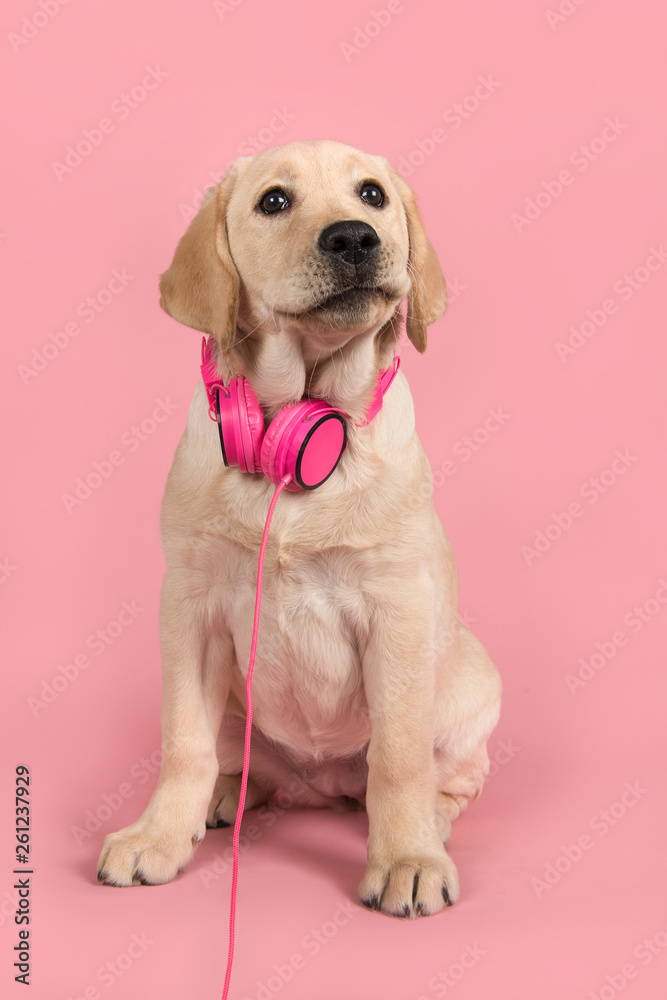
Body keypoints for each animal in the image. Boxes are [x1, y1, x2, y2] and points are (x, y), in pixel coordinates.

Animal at [98, 137, 500, 916]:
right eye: (274, 201)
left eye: (372, 194)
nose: (353, 238)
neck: (301, 440)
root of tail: (320, 784)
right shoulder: (189, 608)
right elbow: (182, 742)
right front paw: (158, 833)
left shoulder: (397, 610)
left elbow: (399, 758)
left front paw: (406, 857)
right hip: (238, 711)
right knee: (240, 765)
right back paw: (222, 798)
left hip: (471, 689)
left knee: (441, 776)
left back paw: (429, 822)